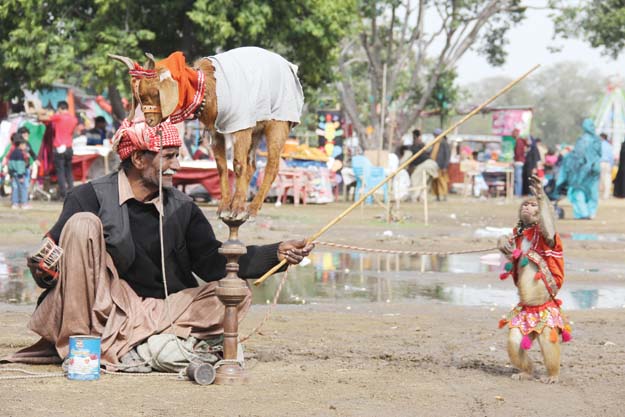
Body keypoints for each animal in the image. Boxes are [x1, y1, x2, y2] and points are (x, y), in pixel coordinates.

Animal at [112, 47, 308, 219]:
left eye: (154, 93)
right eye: (138, 97)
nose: (150, 122)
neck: (208, 88)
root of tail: (290, 67)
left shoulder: (241, 124)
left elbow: (238, 165)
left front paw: (237, 209)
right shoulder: (217, 130)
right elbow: (221, 166)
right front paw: (225, 207)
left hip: (278, 122)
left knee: (272, 165)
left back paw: (252, 209)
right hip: (257, 128)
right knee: (252, 164)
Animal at [498, 174, 572, 382]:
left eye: (533, 205)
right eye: (526, 204)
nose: (527, 207)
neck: (529, 229)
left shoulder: (548, 238)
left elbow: (549, 234)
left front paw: (540, 192)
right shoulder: (517, 234)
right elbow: (511, 255)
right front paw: (503, 242)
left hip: (548, 318)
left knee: (547, 338)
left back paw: (553, 374)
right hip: (525, 321)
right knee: (516, 340)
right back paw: (526, 372)